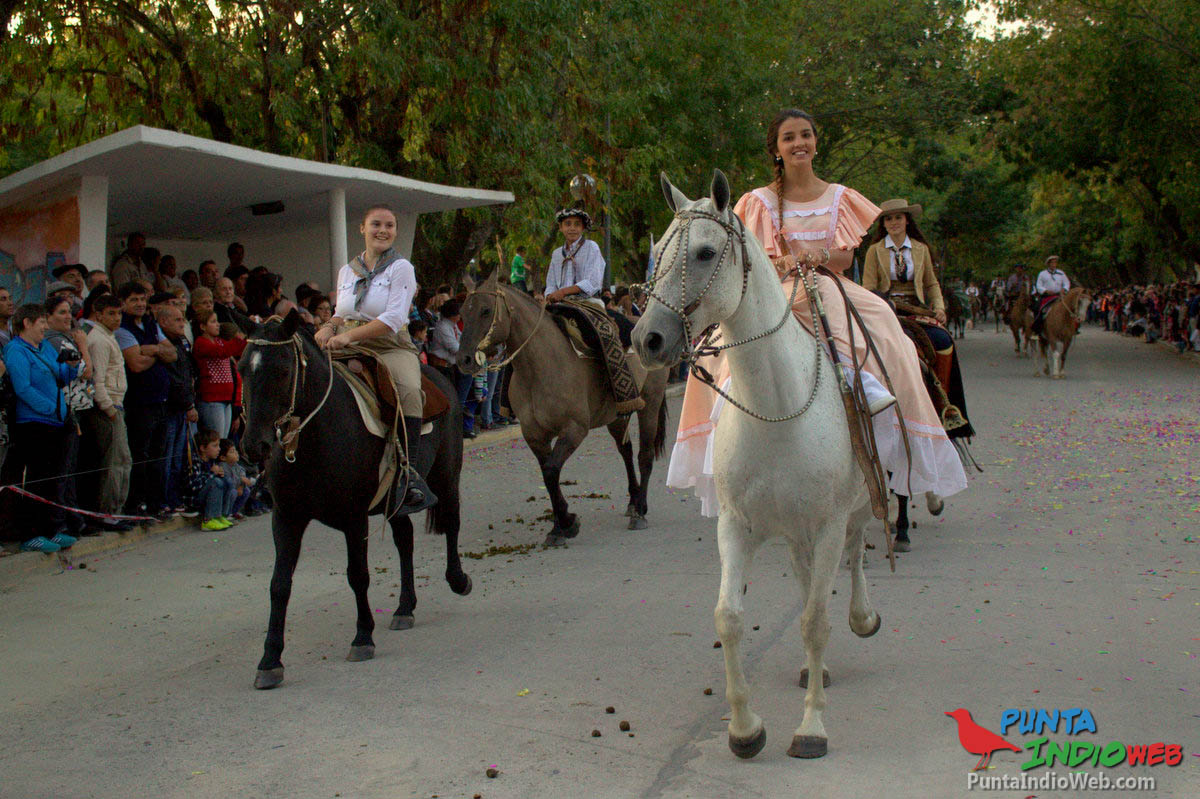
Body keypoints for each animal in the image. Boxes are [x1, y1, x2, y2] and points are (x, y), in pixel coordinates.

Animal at [239, 310, 472, 690]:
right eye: (243, 367)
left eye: (283, 370)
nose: (253, 445)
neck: (314, 437)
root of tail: (441, 375)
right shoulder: (286, 518)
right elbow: (279, 585)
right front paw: (270, 660)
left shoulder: (353, 517)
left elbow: (357, 574)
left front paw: (363, 638)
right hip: (397, 501)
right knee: (405, 540)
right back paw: (404, 607)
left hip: (447, 476)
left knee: (451, 521)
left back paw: (458, 580)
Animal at [456, 270, 670, 544]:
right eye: (462, 313)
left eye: (485, 310)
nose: (464, 360)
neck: (541, 366)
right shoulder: (534, 434)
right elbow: (548, 474)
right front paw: (561, 524)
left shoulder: (574, 429)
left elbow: (551, 470)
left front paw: (566, 522)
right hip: (616, 413)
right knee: (626, 450)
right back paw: (633, 501)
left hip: (650, 402)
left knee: (645, 455)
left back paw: (640, 510)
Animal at [633, 170, 881, 761]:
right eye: (658, 251)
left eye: (704, 252)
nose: (646, 339)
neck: (777, 411)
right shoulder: (736, 526)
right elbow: (730, 618)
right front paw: (745, 729)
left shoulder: (829, 523)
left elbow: (815, 621)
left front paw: (811, 728)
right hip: (794, 532)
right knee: (807, 578)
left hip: (852, 511)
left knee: (857, 554)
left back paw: (862, 618)